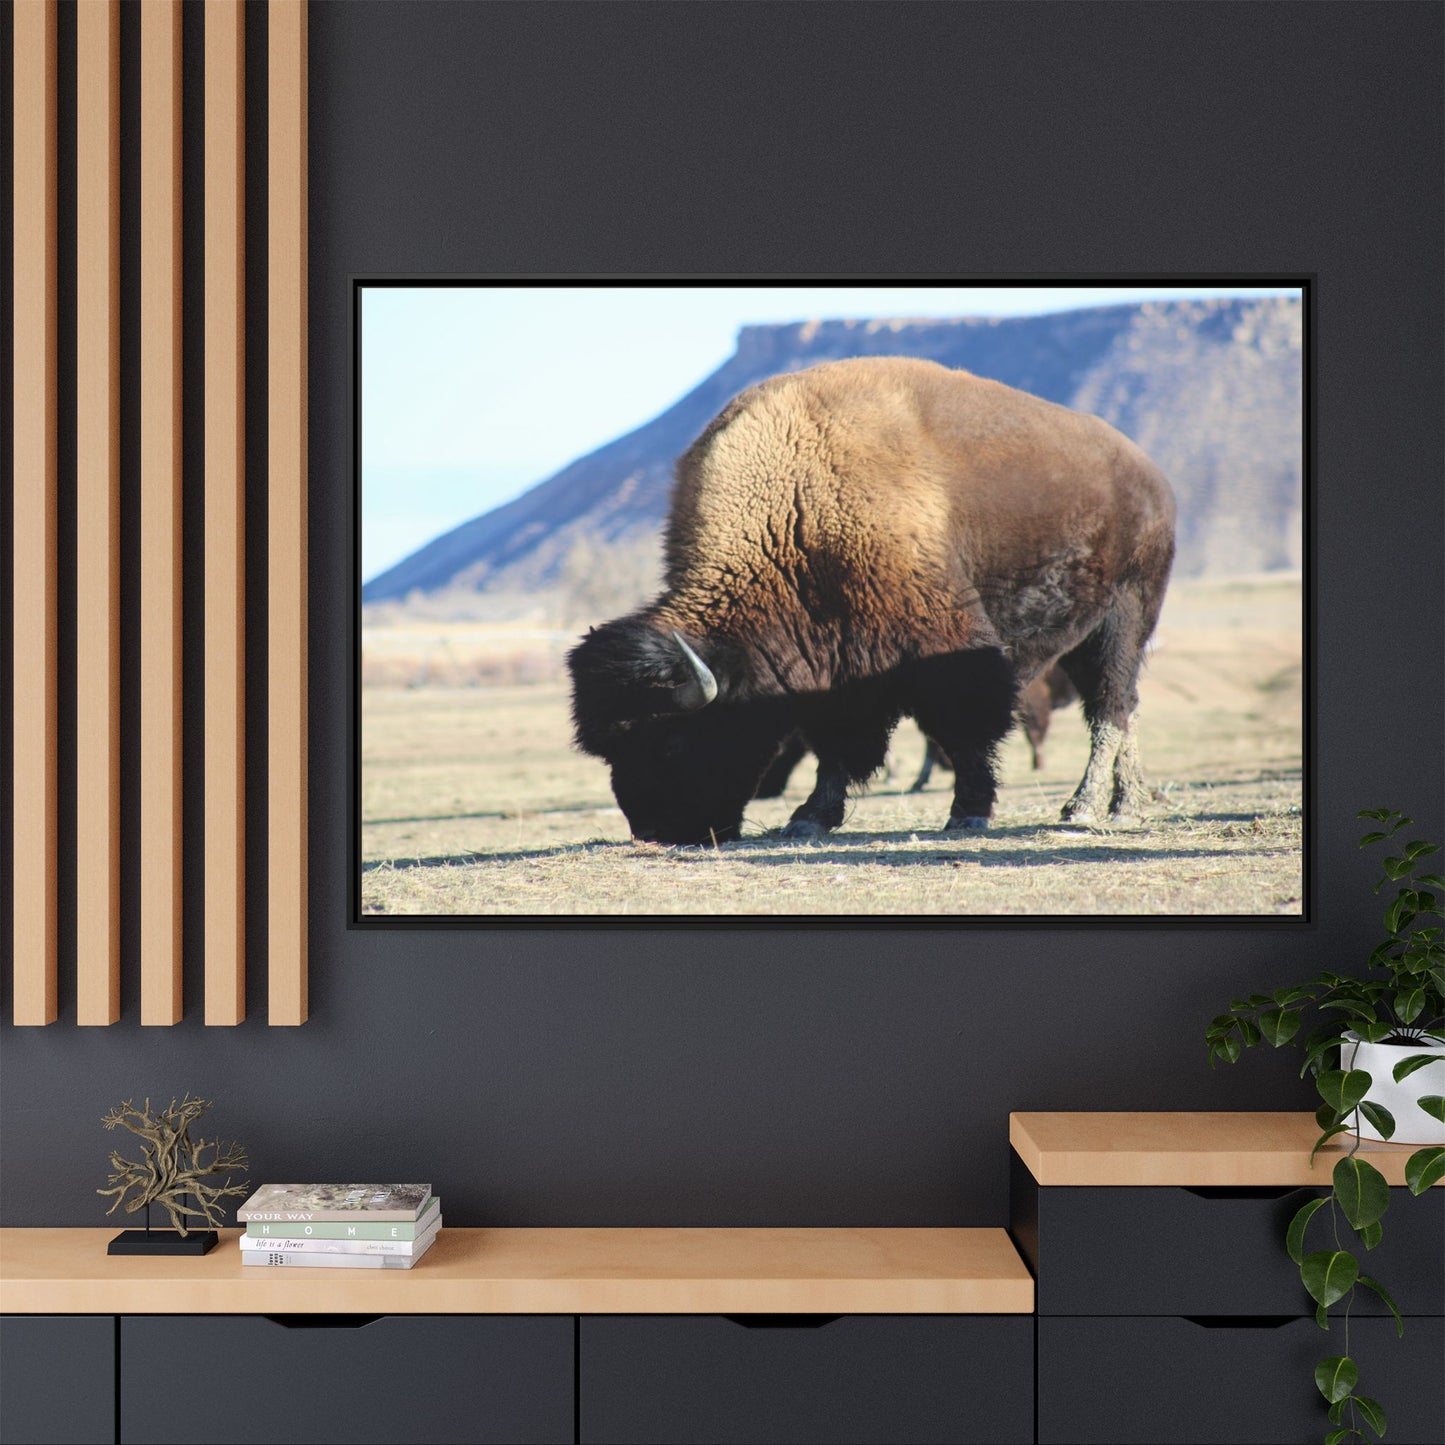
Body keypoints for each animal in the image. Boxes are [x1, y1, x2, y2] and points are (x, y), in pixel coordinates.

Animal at [567, 356, 1175, 845]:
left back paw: (1089, 808)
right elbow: (836, 745)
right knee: (1121, 707)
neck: (795, 509)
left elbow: (966, 730)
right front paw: (809, 818)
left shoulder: (946, 648)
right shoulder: (834, 667)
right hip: (1084, 636)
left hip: (1125, 617)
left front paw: (968, 813)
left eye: (670, 740)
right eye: (610, 750)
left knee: (1110, 707)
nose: (655, 830)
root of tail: (1149, 475)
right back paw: (1126, 802)